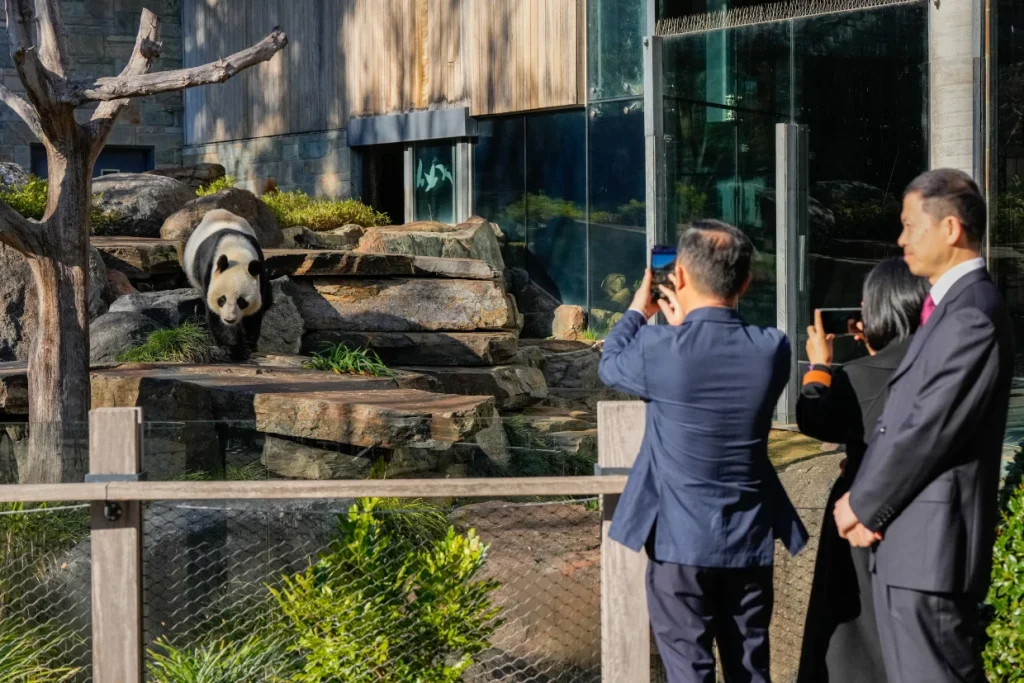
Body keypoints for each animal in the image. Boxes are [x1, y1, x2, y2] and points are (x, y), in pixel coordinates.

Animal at [183, 209, 273, 360]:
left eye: (242, 301)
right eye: (222, 299)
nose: (229, 319)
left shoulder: (260, 274)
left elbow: (255, 313)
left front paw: (249, 344)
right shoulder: (209, 274)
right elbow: (215, 315)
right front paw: (235, 349)